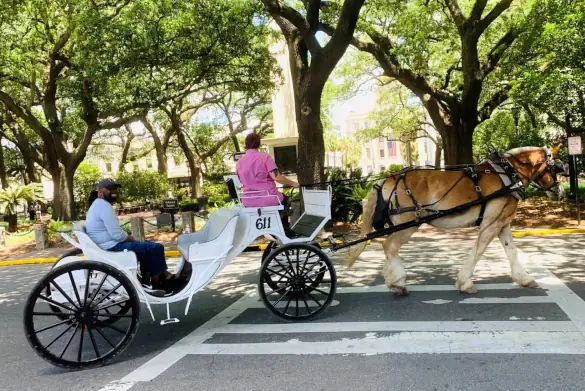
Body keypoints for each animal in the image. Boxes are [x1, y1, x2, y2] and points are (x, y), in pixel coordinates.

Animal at [346, 146, 564, 294]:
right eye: (556, 168)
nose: (560, 192)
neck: (508, 174)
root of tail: (387, 178)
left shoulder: (502, 223)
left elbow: (512, 251)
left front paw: (525, 278)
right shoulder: (490, 224)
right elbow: (478, 250)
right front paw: (465, 282)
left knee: (388, 248)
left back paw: (393, 280)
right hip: (408, 224)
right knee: (389, 246)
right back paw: (398, 282)